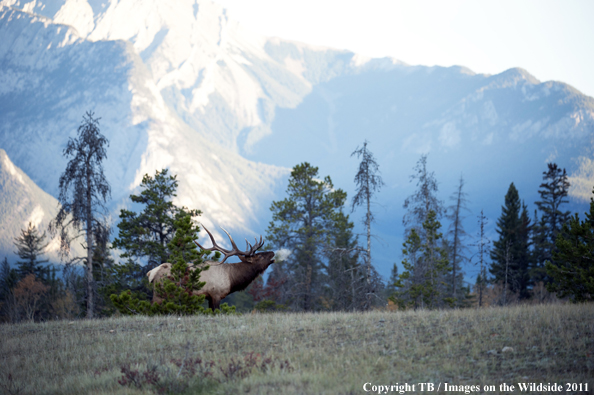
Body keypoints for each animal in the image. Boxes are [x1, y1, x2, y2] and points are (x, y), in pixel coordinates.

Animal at [148, 226, 278, 312]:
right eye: (259, 256)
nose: (272, 252)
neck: (232, 279)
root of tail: (151, 273)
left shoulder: (209, 297)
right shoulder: (216, 294)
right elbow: (217, 312)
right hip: (159, 292)